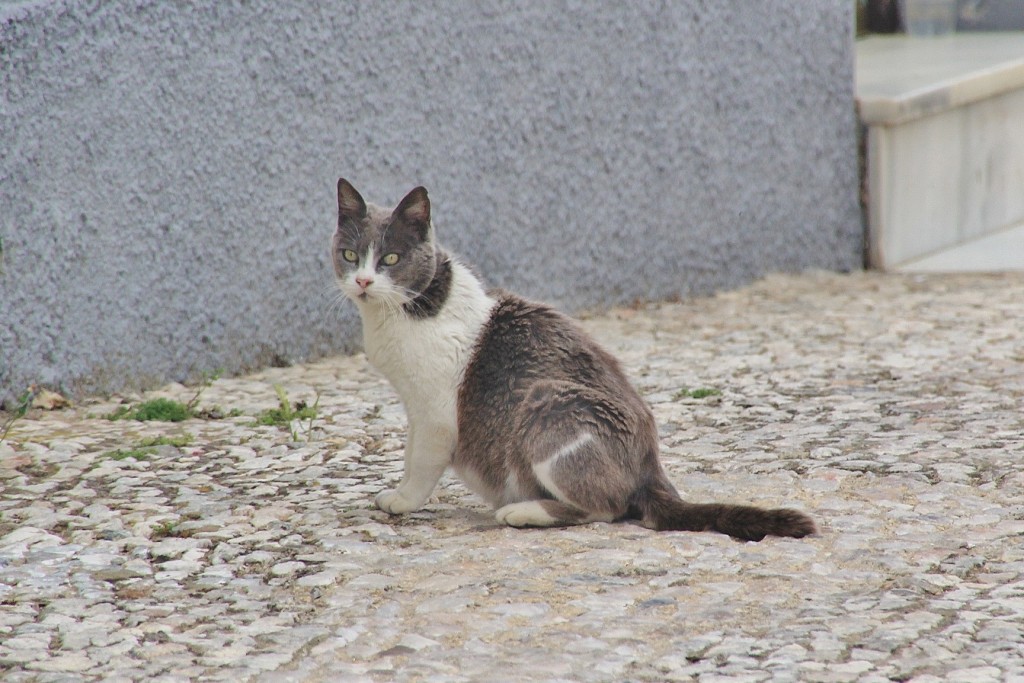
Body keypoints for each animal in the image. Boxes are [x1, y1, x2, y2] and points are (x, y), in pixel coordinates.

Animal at [333, 179, 815, 540]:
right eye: (350, 255)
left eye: (391, 258)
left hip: (553, 405)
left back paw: (522, 512)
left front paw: (403, 500)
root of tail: (651, 469)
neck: (401, 312)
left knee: (608, 507)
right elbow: (409, 449)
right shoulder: (414, 406)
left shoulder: (436, 413)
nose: (362, 281)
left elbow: (420, 462)